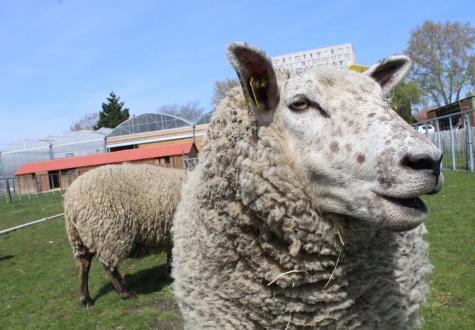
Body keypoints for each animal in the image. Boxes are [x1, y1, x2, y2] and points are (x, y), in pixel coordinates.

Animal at [64, 164, 187, 306]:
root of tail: (71, 203)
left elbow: (170, 254)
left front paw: (169, 272)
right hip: (109, 234)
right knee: (109, 268)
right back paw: (125, 292)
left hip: (82, 238)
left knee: (84, 265)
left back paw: (86, 298)